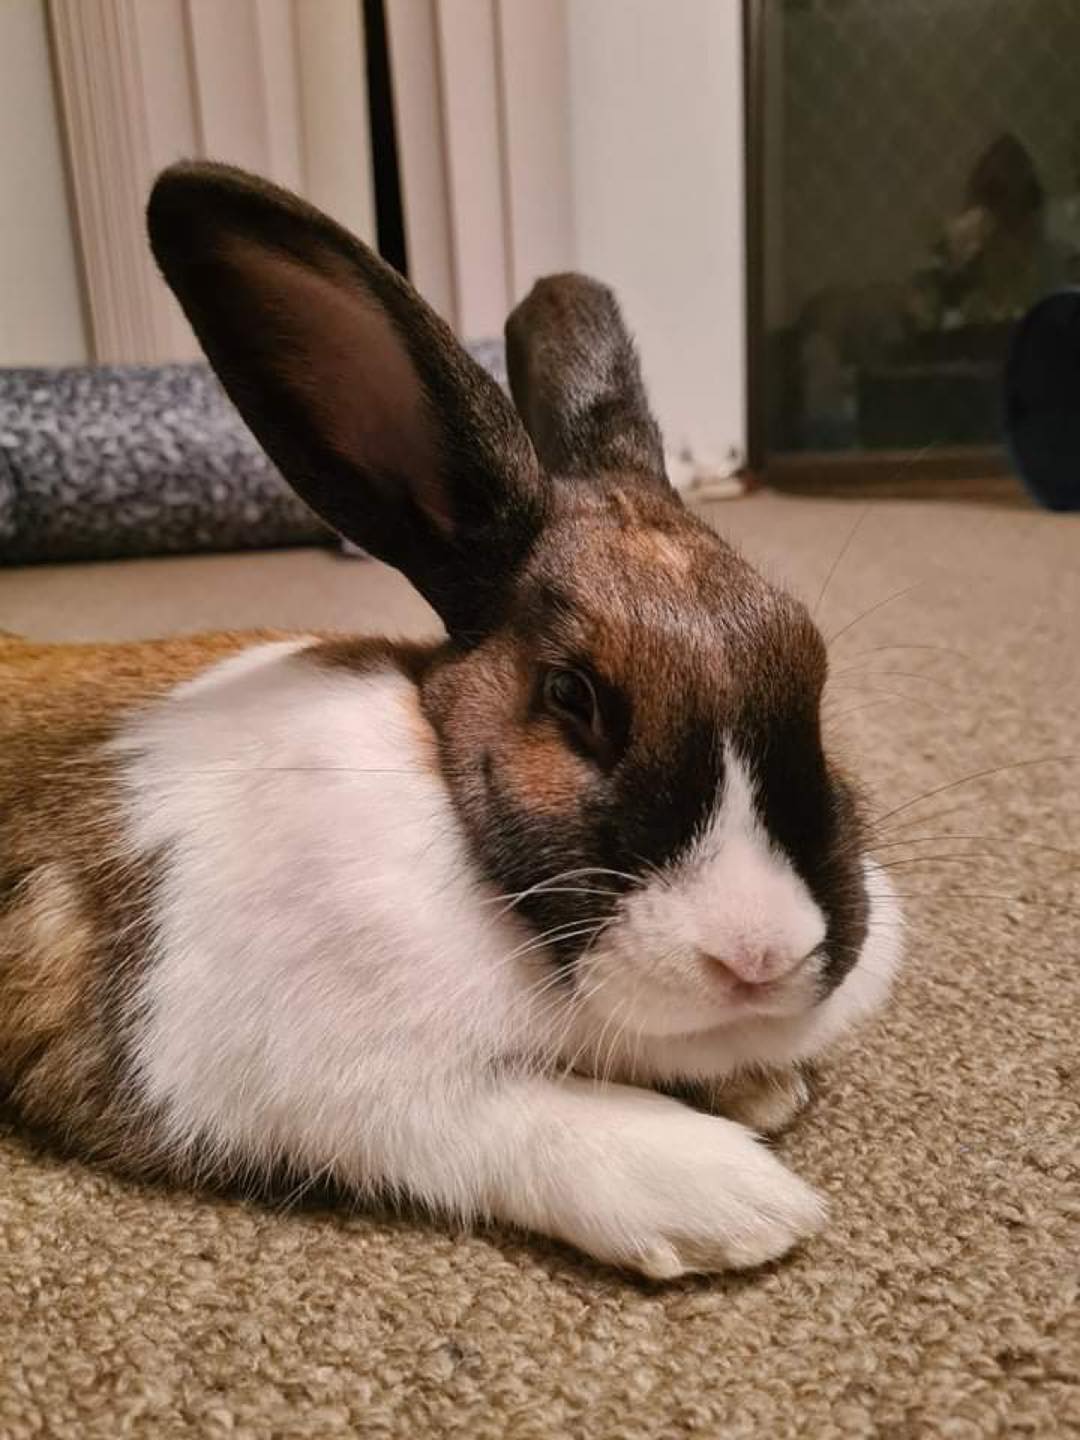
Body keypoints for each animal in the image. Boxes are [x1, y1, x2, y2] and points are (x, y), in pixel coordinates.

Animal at [0, 162, 902, 1280]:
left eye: (811, 665)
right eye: (572, 696)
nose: (760, 955)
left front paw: (761, 1087)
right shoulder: (307, 1074)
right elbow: (510, 1116)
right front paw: (728, 1197)